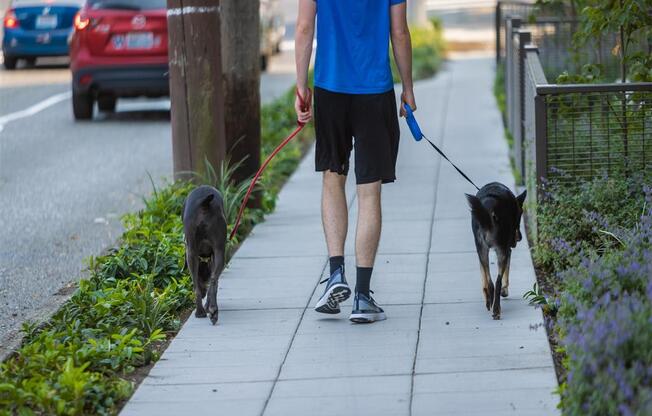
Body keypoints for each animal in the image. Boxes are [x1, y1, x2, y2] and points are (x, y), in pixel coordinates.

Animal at [183, 185, 227, 324]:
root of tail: (204, 204)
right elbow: (213, 282)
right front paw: (209, 305)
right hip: (218, 251)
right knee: (213, 280)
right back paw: (212, 310)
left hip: (192, 252)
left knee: (197, 286)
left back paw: (201, 311)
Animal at [466, 182, 528, 318]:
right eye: (520, 213)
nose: (520, 238)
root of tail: (489, 210)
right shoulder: (508, 249)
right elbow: (506, 274)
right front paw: (505, 291)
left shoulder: (482, 252)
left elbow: (483, 278)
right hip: (502, 250)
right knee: (498, 281)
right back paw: (497, 310)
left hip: (482, 250)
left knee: (490, 282)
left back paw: (491, 302)